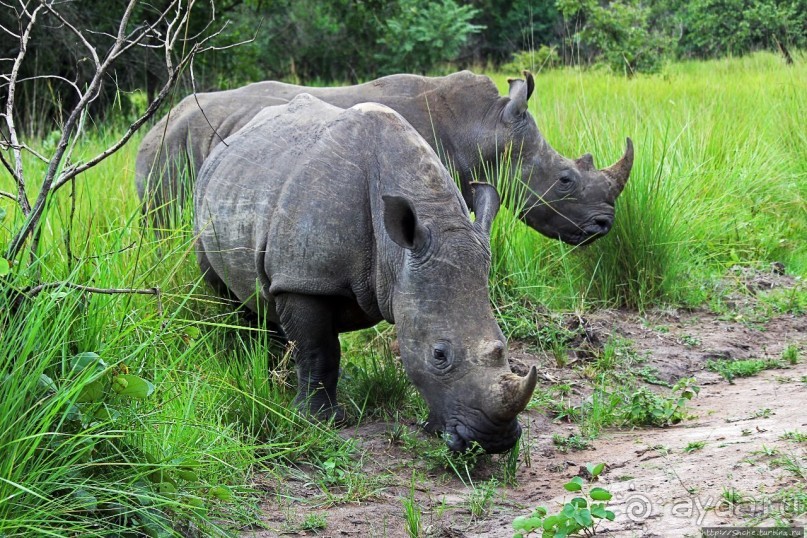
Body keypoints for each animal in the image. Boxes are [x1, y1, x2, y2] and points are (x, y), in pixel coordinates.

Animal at [193, 94, 540, 450]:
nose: (495, 441)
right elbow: (319, 350)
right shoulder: (303, 278)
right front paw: (319, 421)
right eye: (439, 355)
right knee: (227, 292)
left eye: (504, 344)